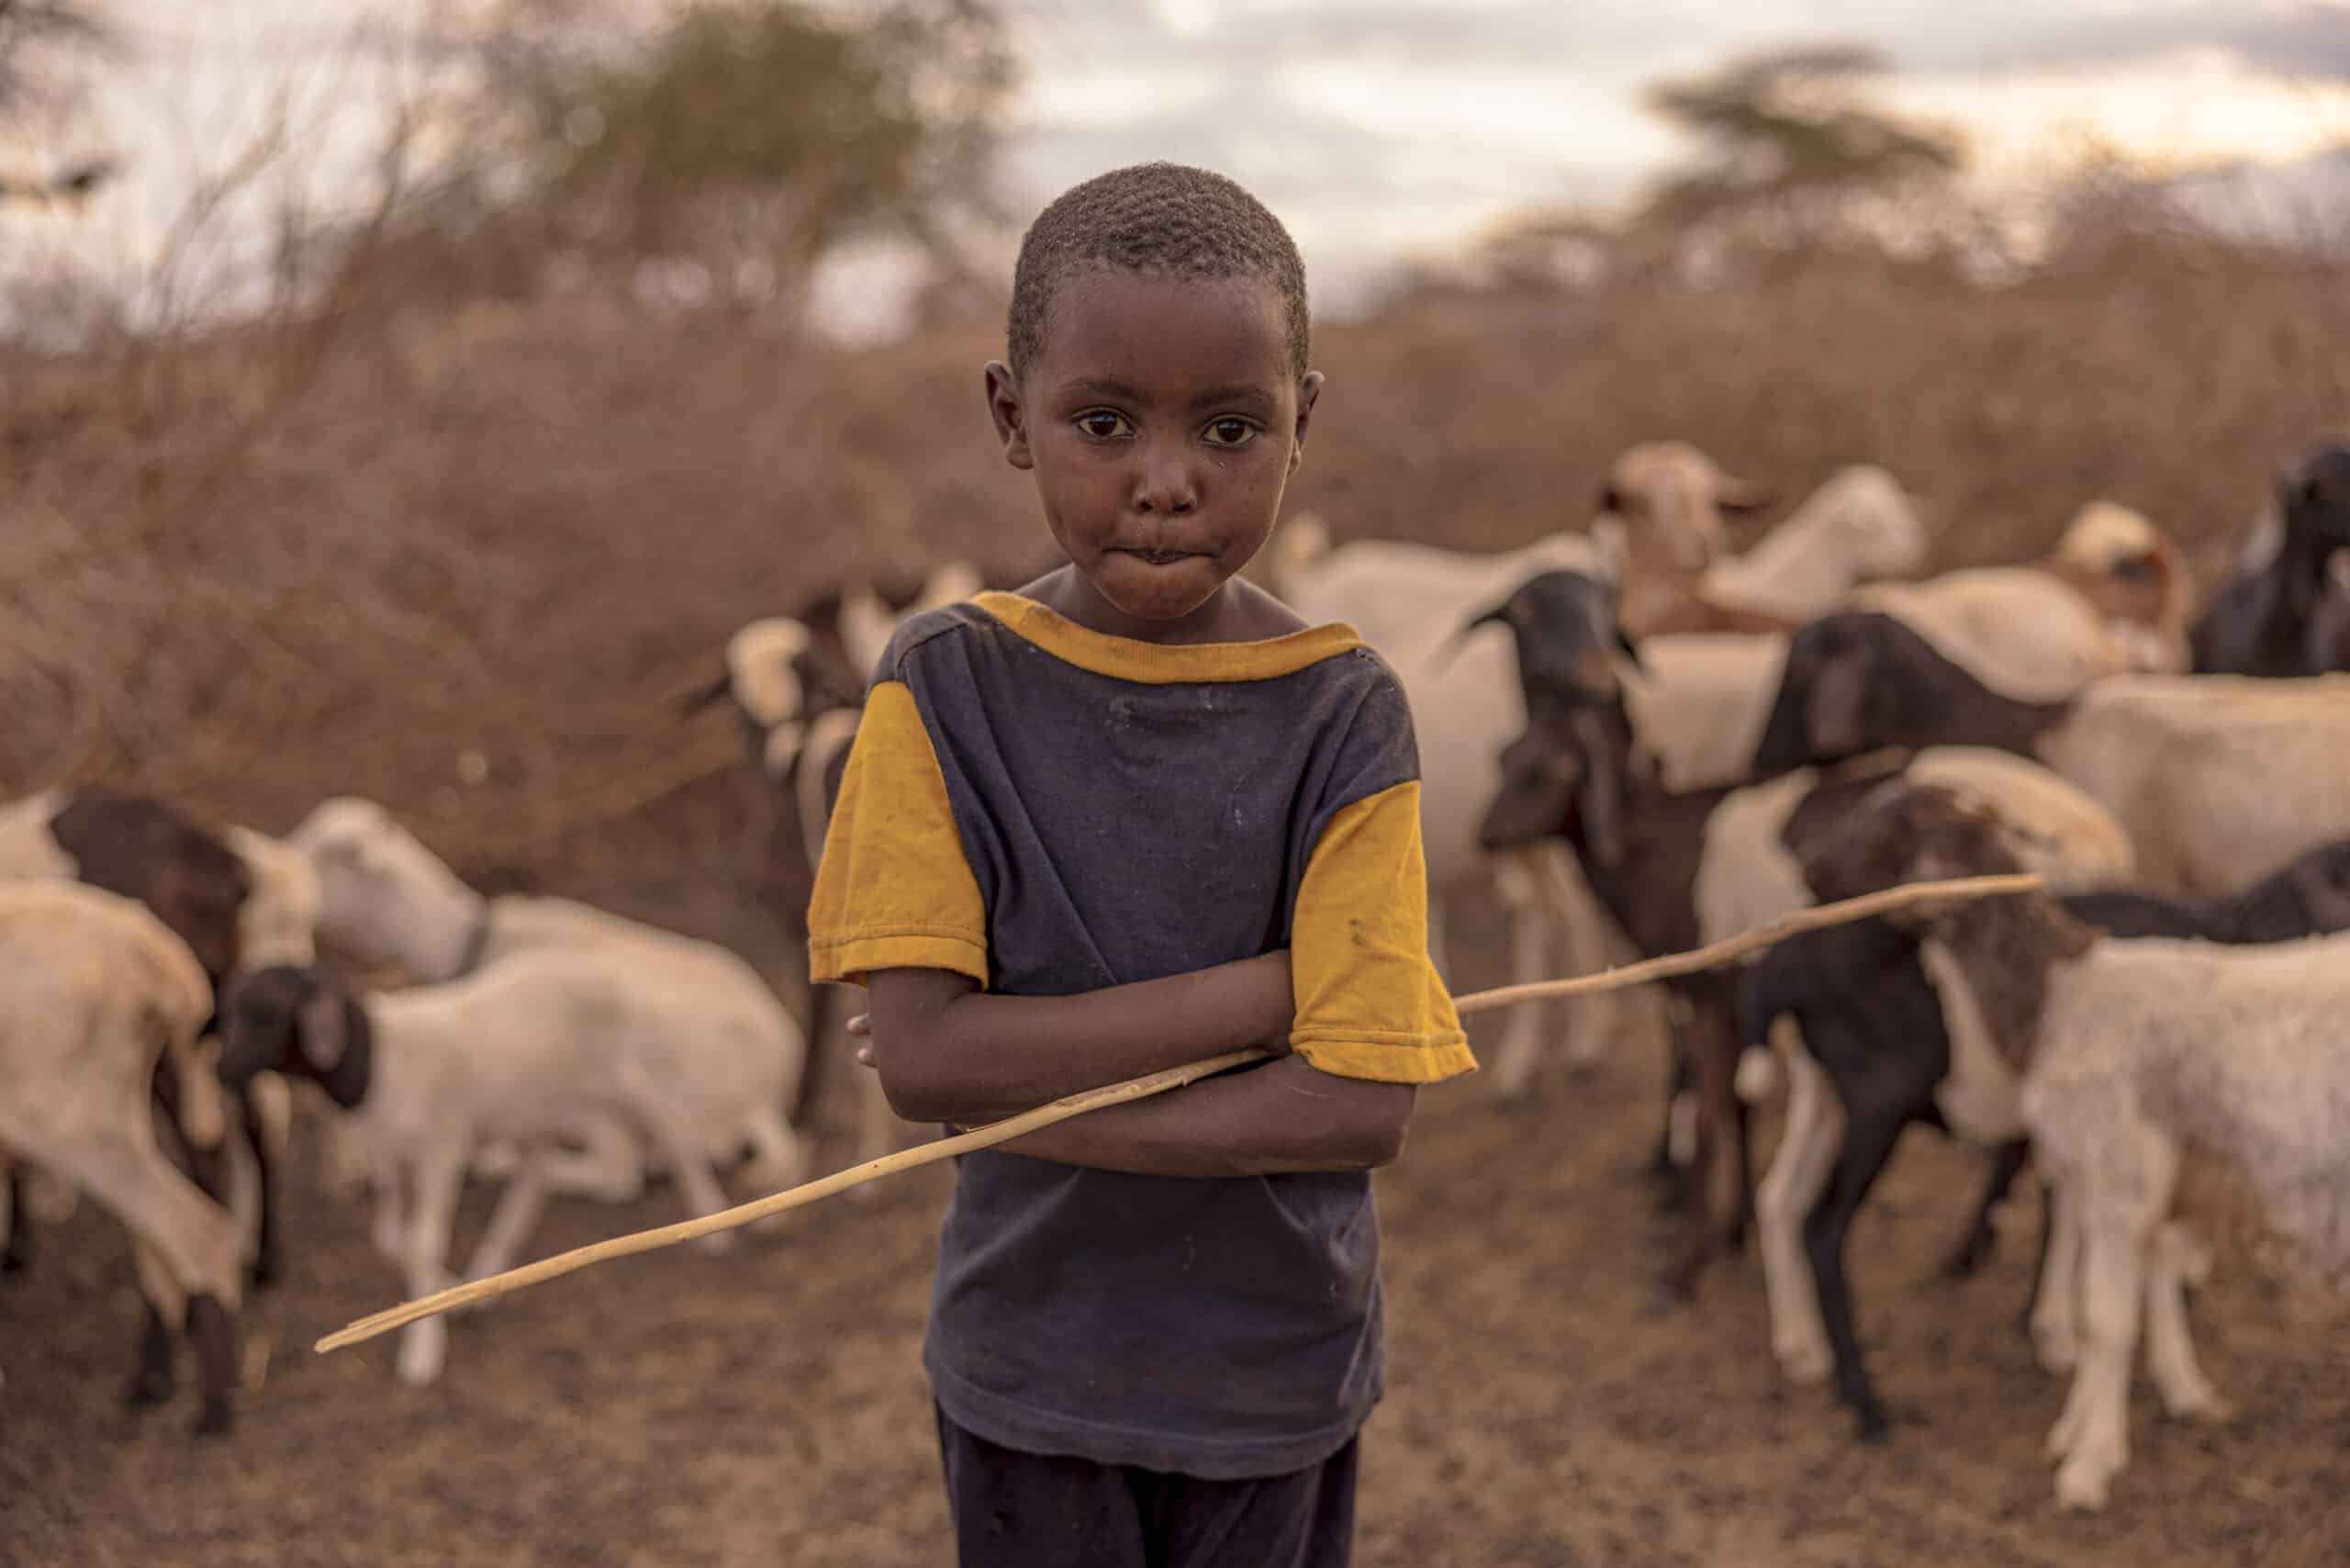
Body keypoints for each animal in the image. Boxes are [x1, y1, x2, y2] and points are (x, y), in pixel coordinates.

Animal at [0, 883, 242, 1439]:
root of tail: (158, 959)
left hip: (75, 1123)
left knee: (195, 1232)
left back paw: (215, 1406)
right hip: (119, 1114)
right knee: (163, 1240)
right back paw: (156, 1379)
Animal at [1475, 571, 2143, 1306]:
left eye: (1549, 773)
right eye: (1505, 759)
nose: (1485, 836)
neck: (1661, 843)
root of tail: (2101, 838)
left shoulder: (1712, 993)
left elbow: (1710, 1117)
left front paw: (1684, 1266)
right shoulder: (1733, 1001)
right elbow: (1737, 1109)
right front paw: (1731, 1230)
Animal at [1785, 790, 2340, 1514]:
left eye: (1879, 832)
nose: (1808, 872)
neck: (2063, 991)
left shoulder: (2120, 1170)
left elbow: (2105, 1318)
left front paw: (2088, 1464)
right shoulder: (2141, 1173)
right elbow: (2116, 1294)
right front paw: (2102, 1421)